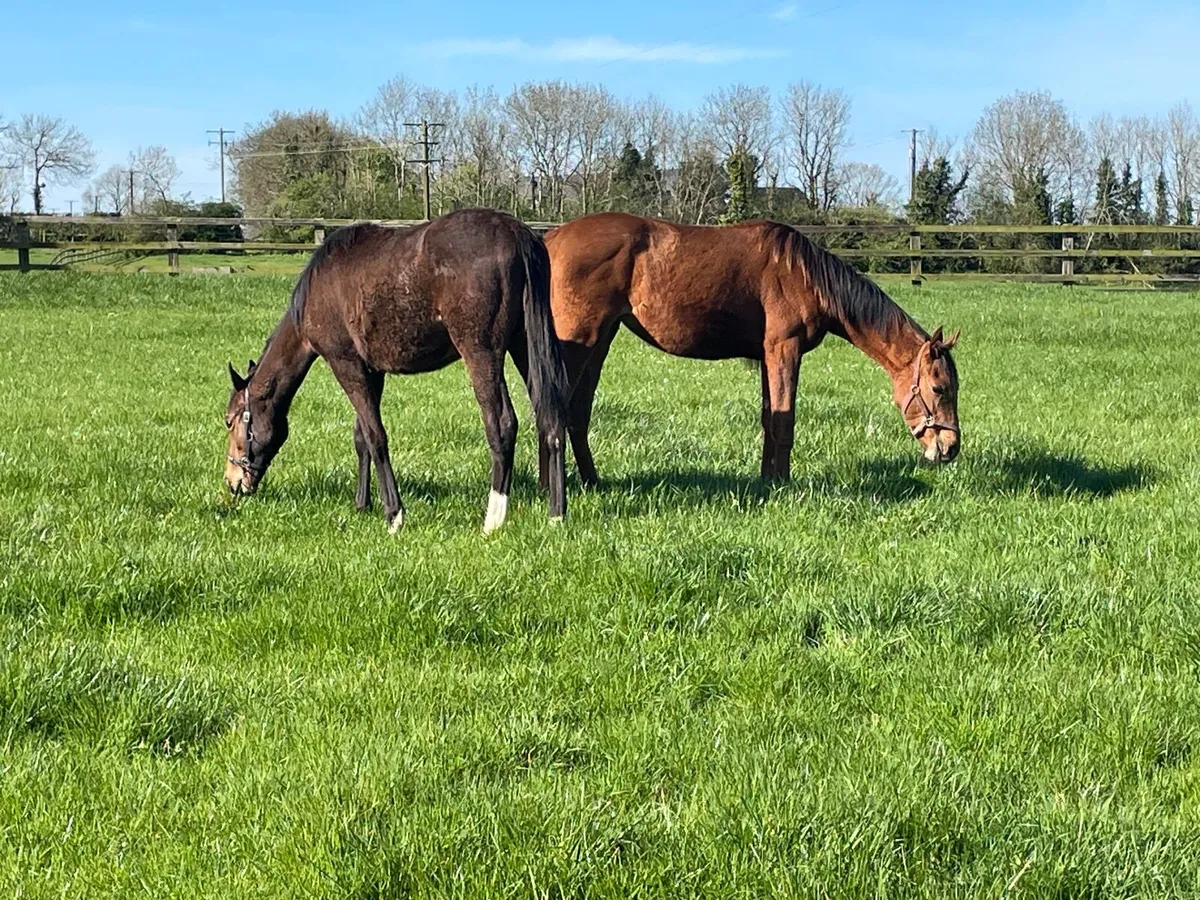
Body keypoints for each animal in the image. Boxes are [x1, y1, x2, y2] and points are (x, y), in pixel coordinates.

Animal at [223, 207, 568, 534]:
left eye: (230, 421)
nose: (233, 480)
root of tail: (516, 233)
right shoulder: (373, 372)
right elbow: (361, 436)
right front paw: (362, 504)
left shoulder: (345, 364)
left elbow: (376, 437)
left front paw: (394, 514)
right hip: (525, 344)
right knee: (551, 419)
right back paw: (556, 515)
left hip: (481, 352)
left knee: (502, 424)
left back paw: (493, 519)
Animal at [539, 212, 960, 486]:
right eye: (939, 388)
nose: (951, 447)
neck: (804, 274)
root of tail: (551, 239)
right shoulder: (784, 350)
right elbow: (784, 420)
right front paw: (782, 485)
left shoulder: (766, 357)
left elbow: (768, 419)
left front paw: (765, 480)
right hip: (580, 343)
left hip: (600, 343)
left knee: (577, 413)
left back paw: (592, 481)